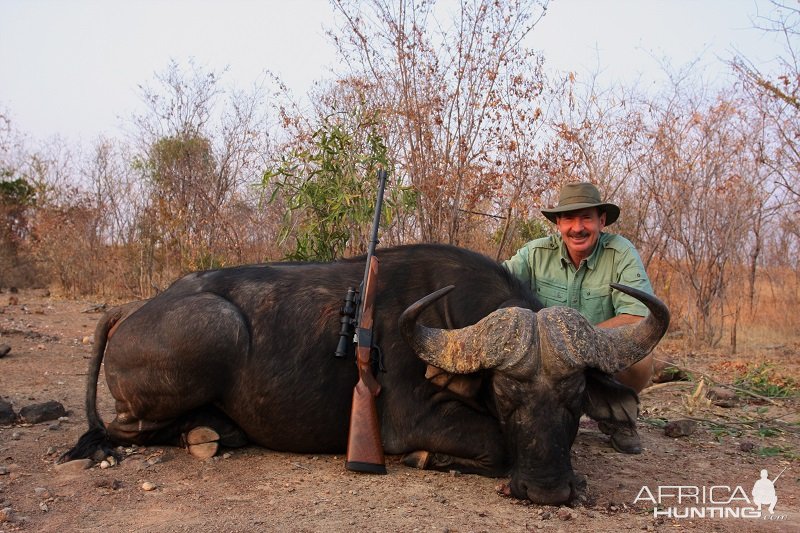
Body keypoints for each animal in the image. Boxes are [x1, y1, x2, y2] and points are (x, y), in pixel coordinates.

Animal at [61, 244, 668, 502]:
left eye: (575, 395)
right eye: (504, 393)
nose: (547, 490)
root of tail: (132, 310)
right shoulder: (416, 421)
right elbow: (494, 443)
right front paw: (428, 459)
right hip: (217, 328)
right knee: (121, 430)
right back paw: (205, 433)